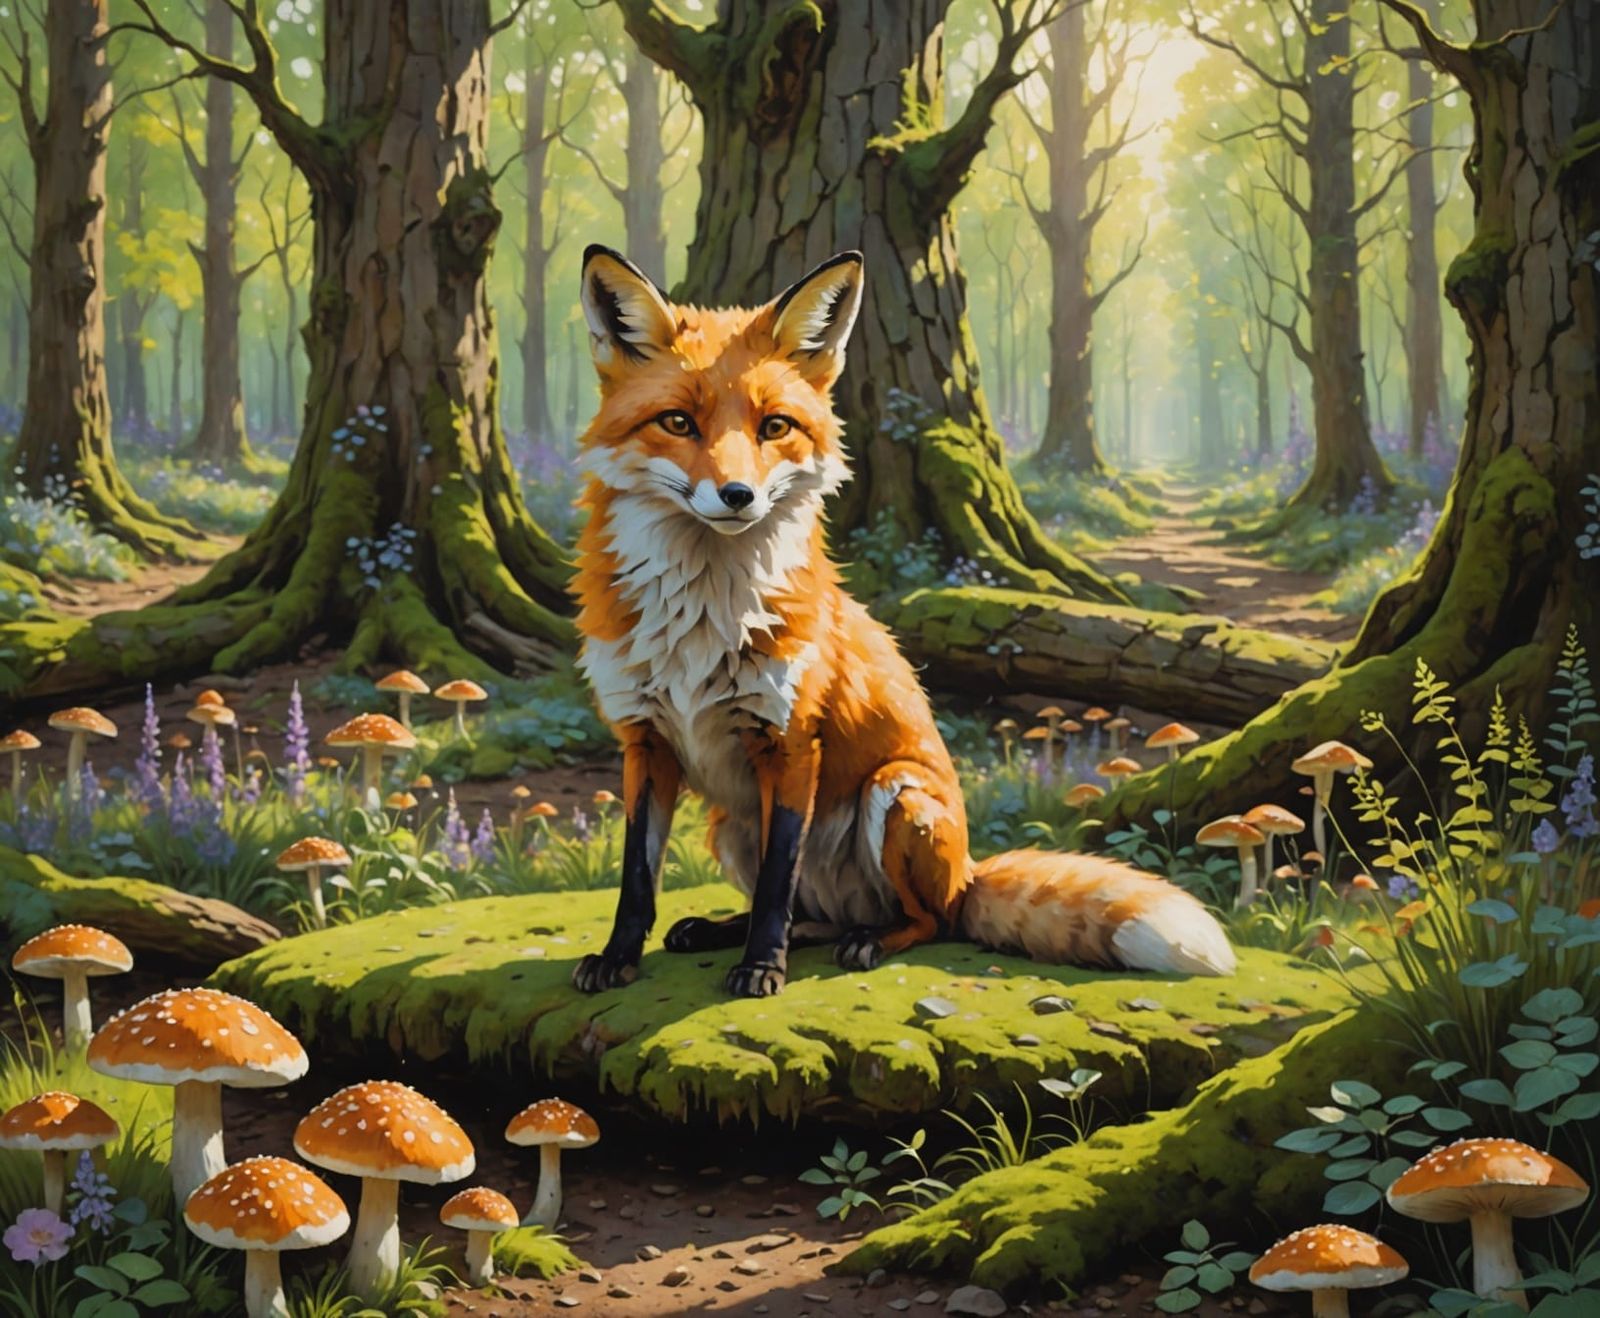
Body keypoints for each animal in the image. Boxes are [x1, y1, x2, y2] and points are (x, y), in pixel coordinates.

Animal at [569, 244, 1236, 998]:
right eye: (679, 422)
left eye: (774, 427)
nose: (738, 496)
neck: (700, 618)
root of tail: (969, 872)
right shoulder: (645, 741)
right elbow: (638, 876)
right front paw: (619, 957)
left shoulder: (791, 743)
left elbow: (774, 884)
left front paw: (762, 969)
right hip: (730, 827)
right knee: (811, 913)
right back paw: (720, 930)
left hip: (897, 796)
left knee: (923, 919)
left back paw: (868, 941)